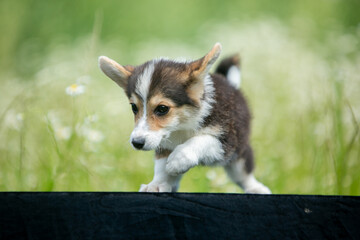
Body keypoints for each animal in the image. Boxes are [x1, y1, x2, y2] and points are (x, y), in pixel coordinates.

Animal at [98, 42, 270, 193]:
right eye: (134, 107)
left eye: (162, 109)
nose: (137, 143)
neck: (181, 125)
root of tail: (231, 84)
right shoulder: (164, 144)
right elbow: (161, 168)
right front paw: (157, 184)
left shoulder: (226, 140)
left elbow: (202, 140)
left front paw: (179, 159)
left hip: (239, 153)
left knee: (243, 174)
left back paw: (256, 188)